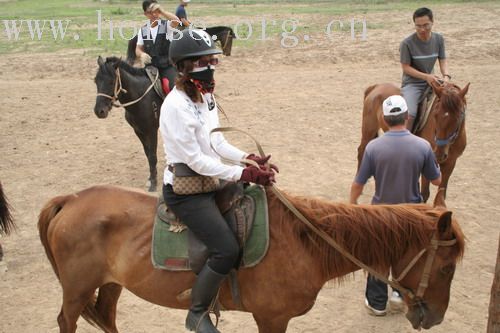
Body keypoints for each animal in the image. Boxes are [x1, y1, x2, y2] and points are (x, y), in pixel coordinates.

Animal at [39, 184, 464, 332]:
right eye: (446, 267)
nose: (435, 317)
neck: (304, 243)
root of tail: (71, 199)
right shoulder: (271, 319)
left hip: (110, 284)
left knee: (106, 316)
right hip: (76, 291)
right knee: (67, 321)